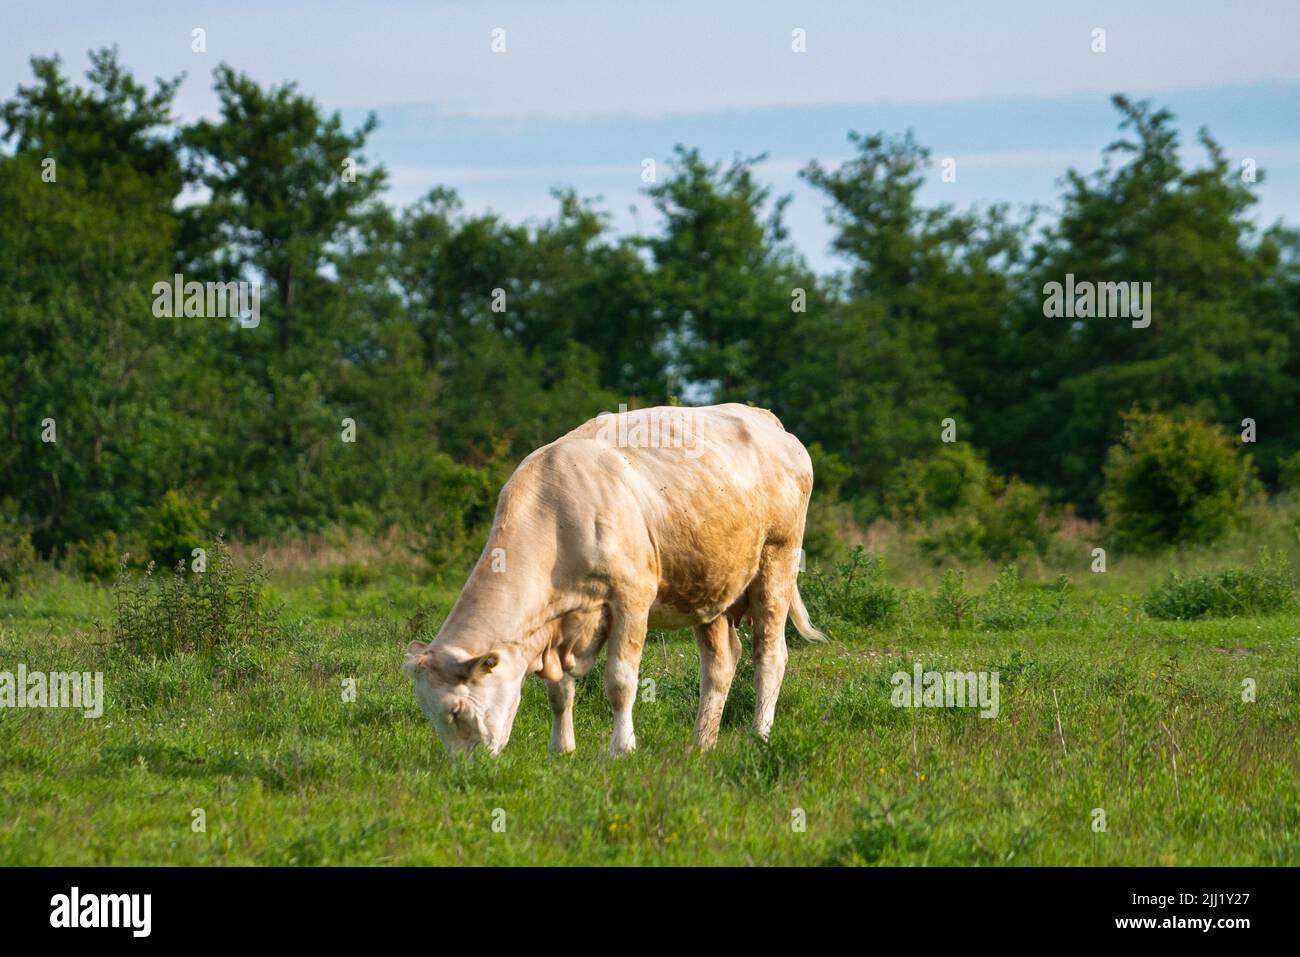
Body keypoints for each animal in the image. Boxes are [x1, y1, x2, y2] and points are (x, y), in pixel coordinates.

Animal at [403, 402, 826, 757]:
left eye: (457, 710)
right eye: (429, 714)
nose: (467, 767)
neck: (555, 520)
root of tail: (763, 417)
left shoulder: (631, 599)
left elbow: (621, 682)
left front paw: (622, 749)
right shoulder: (560, 622)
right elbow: (558, 691)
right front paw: (562, 750)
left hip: (777, 560)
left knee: (769, 656)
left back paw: (759, 735)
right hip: (711, 584)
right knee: (719, 664)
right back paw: (701, 744)